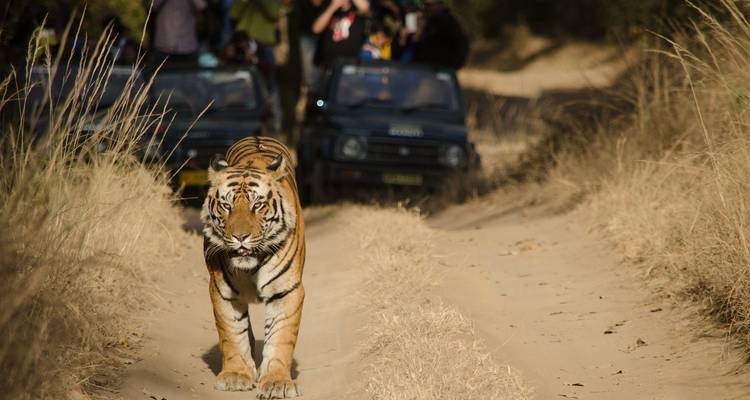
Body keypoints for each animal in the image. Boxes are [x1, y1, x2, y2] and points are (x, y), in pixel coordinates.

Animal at [200, 136, 305, 399]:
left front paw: (277, 382)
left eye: (258, 205)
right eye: (226, 206)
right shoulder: (222, 291)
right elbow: (232, 333)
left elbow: (281, 337)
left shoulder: (287, 291)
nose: (240, 237)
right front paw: (236, 375)